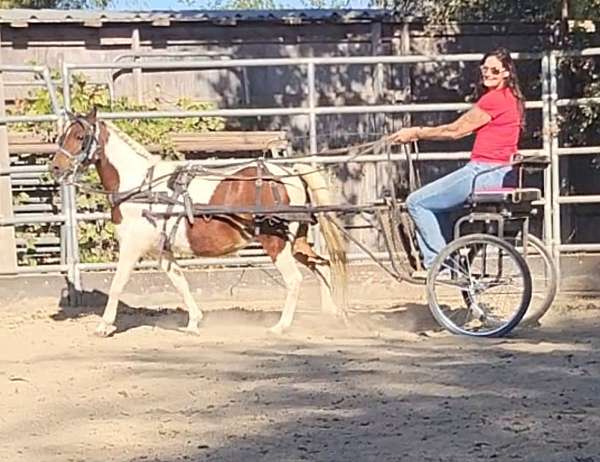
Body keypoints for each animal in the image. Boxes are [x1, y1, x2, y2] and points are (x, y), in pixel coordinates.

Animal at [51, 110, 346, 338]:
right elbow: (179, 281)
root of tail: (289, 173)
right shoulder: (161, 251)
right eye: (62, 135)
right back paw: (331, 314)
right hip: (297, 241)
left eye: (79, 137)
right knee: (322, 266)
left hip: (276, 243)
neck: (140, 187)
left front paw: (104, 326)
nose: (55, 167)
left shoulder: (132, 247)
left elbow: (118, 283)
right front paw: (194, 322)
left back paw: (280, 327)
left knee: (295, 279)